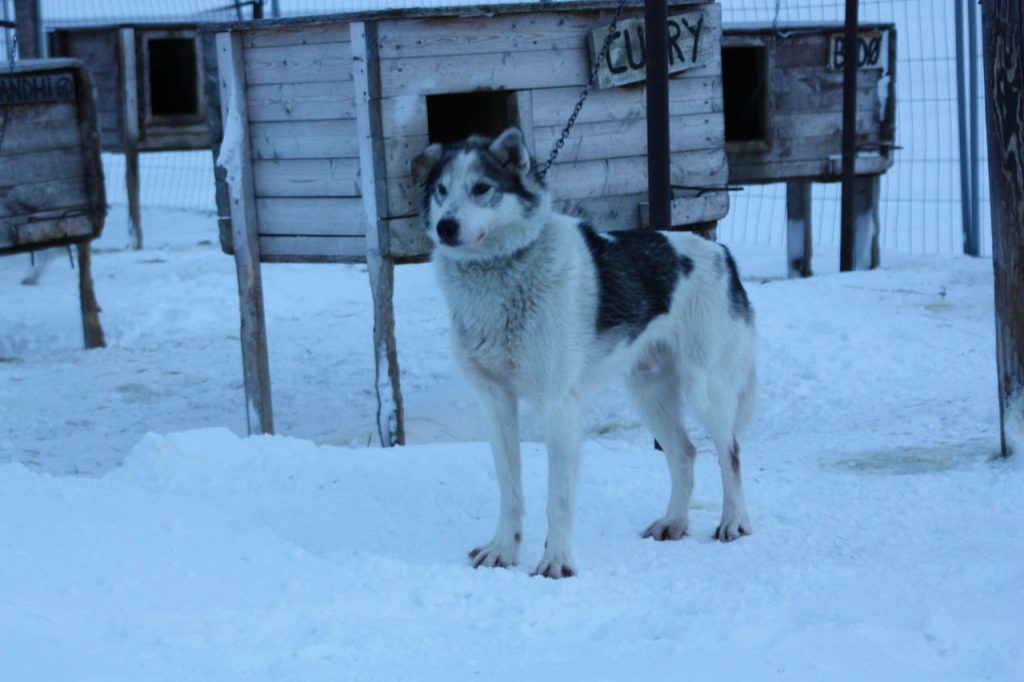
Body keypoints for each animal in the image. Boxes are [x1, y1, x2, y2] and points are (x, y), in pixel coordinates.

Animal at [411, 125, 757, 573]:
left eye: (482, 188)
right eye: (441, 190)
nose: (446, 227)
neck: (501, 273)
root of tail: (722, 253)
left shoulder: (558, 406)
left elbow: (557, 498)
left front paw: (556, 562)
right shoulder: (495, 403)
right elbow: (510, 489)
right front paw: (503, 549)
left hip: (706, 391)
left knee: (730, 453)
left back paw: (734, 521)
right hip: (649, 395)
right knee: (685, 452)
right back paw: (674, 522)